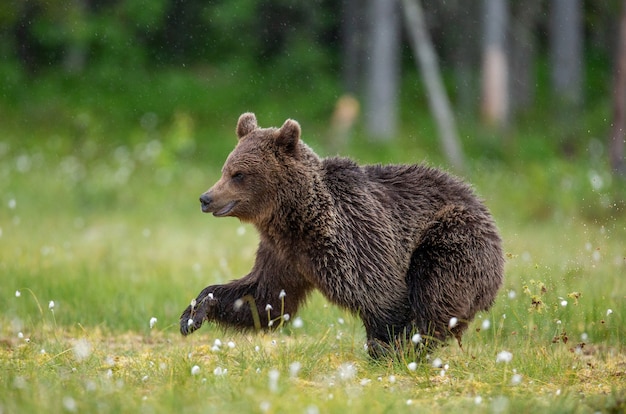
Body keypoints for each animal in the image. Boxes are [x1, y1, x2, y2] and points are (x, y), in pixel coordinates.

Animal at [180, 113, 502, 360]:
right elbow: (264, 298)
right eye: (225, 169)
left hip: (453, 236)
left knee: (436, 290)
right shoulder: (284, 254)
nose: (206, 198)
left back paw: (410, 347)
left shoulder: (353, 237)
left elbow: (382, 293)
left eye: (239, 174)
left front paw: (385, 346)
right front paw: (193, 313)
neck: (296, 219)